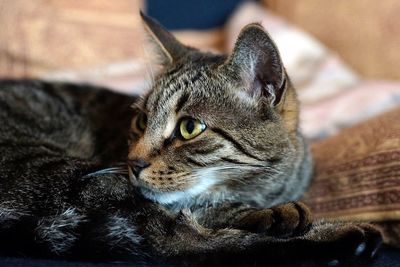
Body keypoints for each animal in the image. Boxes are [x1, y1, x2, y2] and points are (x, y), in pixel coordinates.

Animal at [0, 12, 382, 266]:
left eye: (189, 128)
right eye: (142, 120)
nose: (132, 163)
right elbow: (206, 213)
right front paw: (273, 215)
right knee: (178, 244)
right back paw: (345, 237)